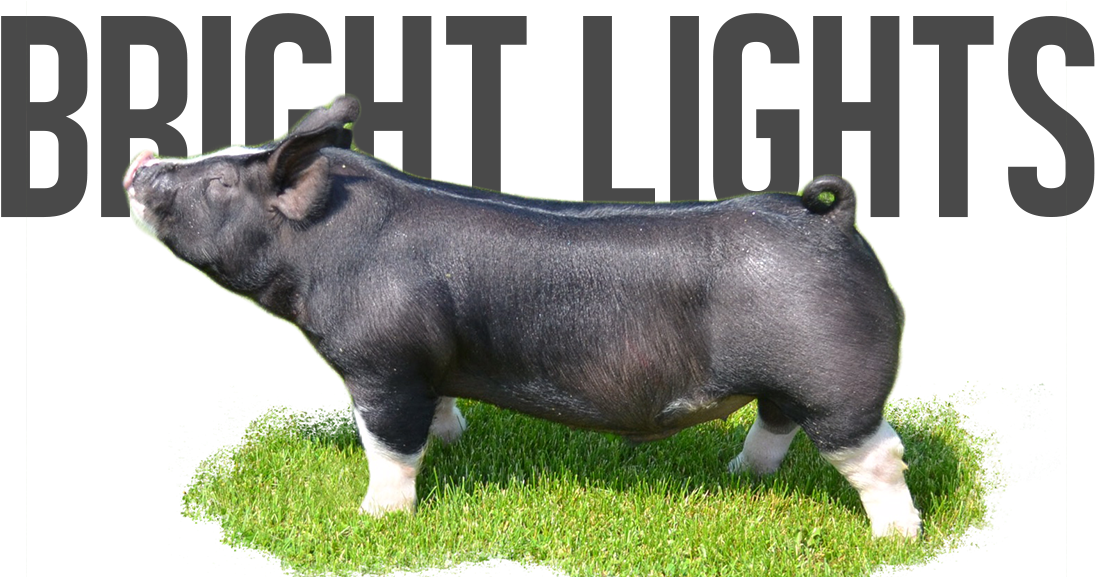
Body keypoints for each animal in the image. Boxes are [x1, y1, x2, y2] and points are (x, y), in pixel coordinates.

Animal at [124, 94, 921, 538]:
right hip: (788, 378)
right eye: (223, 156)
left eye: (222, 184)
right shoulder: (429, 362)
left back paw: (895, 540)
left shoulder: (383, 363)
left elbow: (387, 443)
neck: (329, 240)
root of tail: (830, 221)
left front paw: (375, 519)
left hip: (834, 379)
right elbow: (438, 412)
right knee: (776, 423)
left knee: (880, 454)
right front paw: (453, 443)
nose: (140, 158)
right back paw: (737, 474)